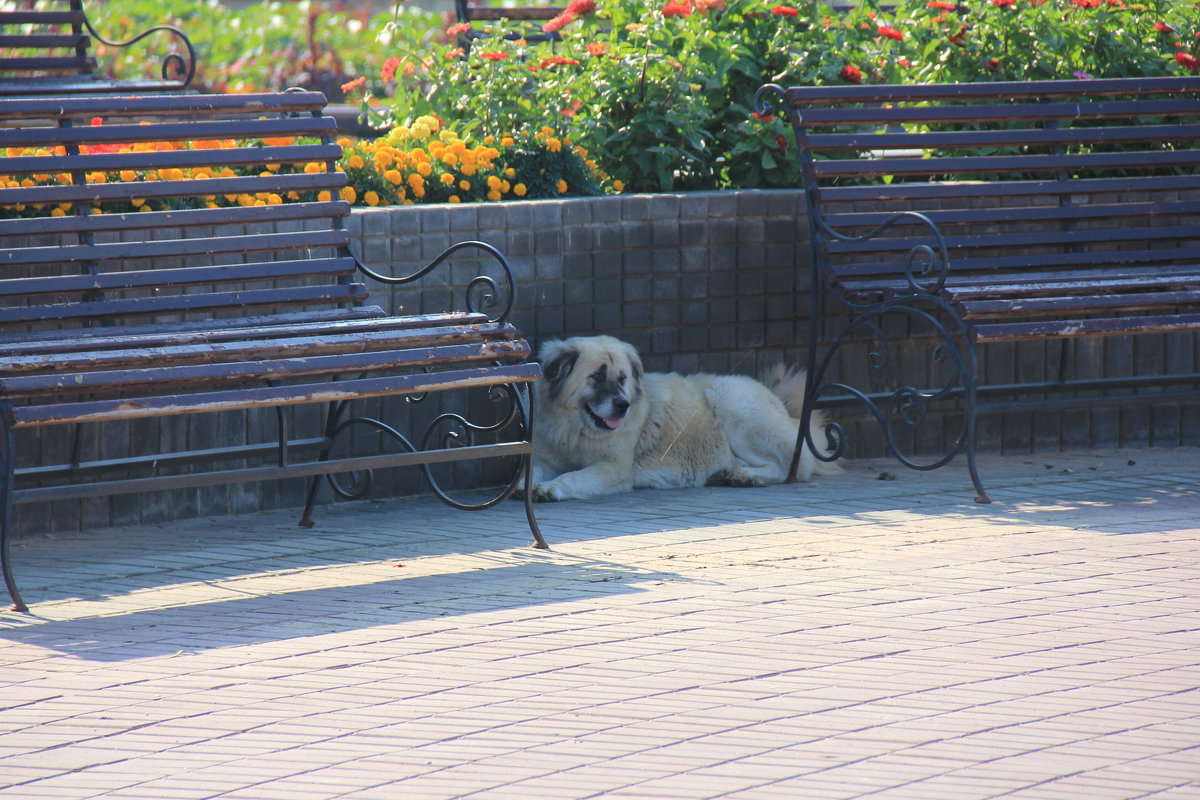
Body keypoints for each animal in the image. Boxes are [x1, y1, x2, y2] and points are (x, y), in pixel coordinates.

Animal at [530, 335, 840, 501]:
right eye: (595, 376)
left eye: (622, 378)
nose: (622, 405)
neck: (573, 430)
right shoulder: (545, 458)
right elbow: (531, 473)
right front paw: (531, 486)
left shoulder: (614, 469)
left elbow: (574, 476)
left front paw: (551, 488)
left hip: (727, 395)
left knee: (789, 466)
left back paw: (742, 476)